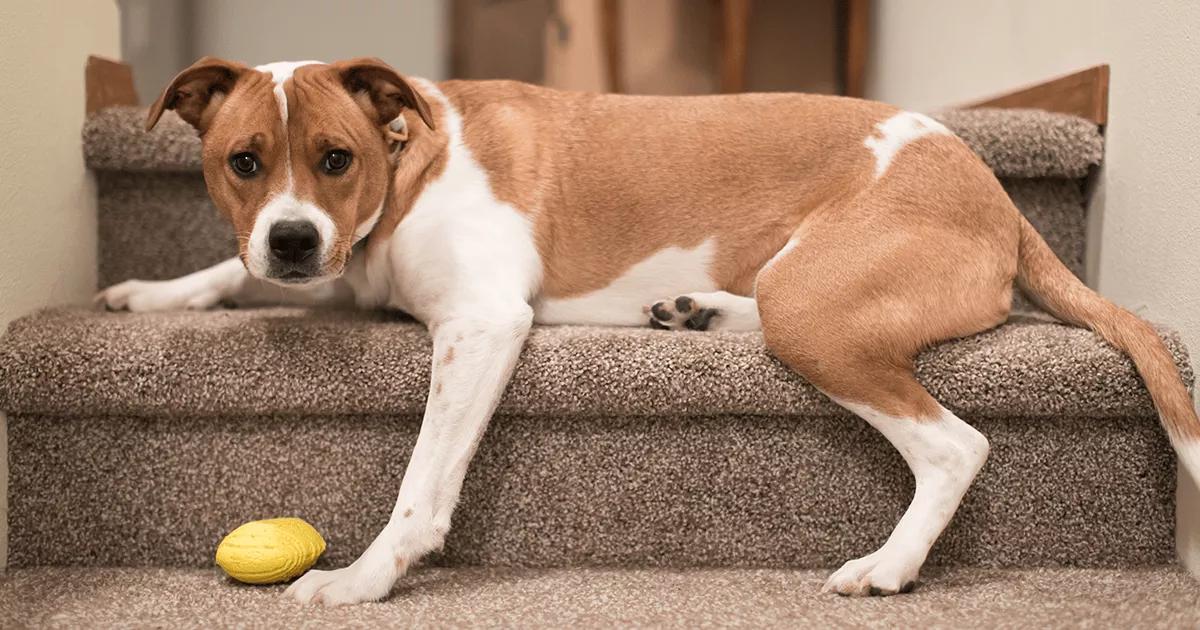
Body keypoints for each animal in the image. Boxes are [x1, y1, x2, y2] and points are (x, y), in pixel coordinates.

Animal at [96, 58, 1200, 604]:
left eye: (336, 157)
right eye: (242, 162)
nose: (289, 239)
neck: (407, 156)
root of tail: (996, 193)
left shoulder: (481, 324)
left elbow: (420, 484)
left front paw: (367, 579)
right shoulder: (342, 267)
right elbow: (228, 276)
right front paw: (153, 290)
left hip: (817, 311)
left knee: (955, 444)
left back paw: (889, 565)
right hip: (798, 289)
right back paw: (694, 308)